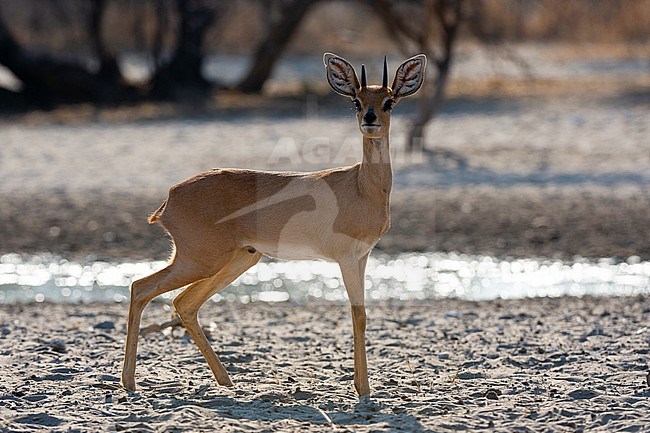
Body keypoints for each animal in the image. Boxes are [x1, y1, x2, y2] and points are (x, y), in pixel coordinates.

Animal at [121, 53, 426, 394]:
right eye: (356, 102)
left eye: (389, 101)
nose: (370, 119)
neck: (362, 187)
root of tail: (170, 196)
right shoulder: (346, 259)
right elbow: (356, 314)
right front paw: (363, 389)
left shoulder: (362, 256)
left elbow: (361, 315)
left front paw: (364, 387)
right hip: (200, 260)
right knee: (141, 288)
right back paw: (129, 382)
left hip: (239, 259)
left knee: (184, 302)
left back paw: (226, 381)